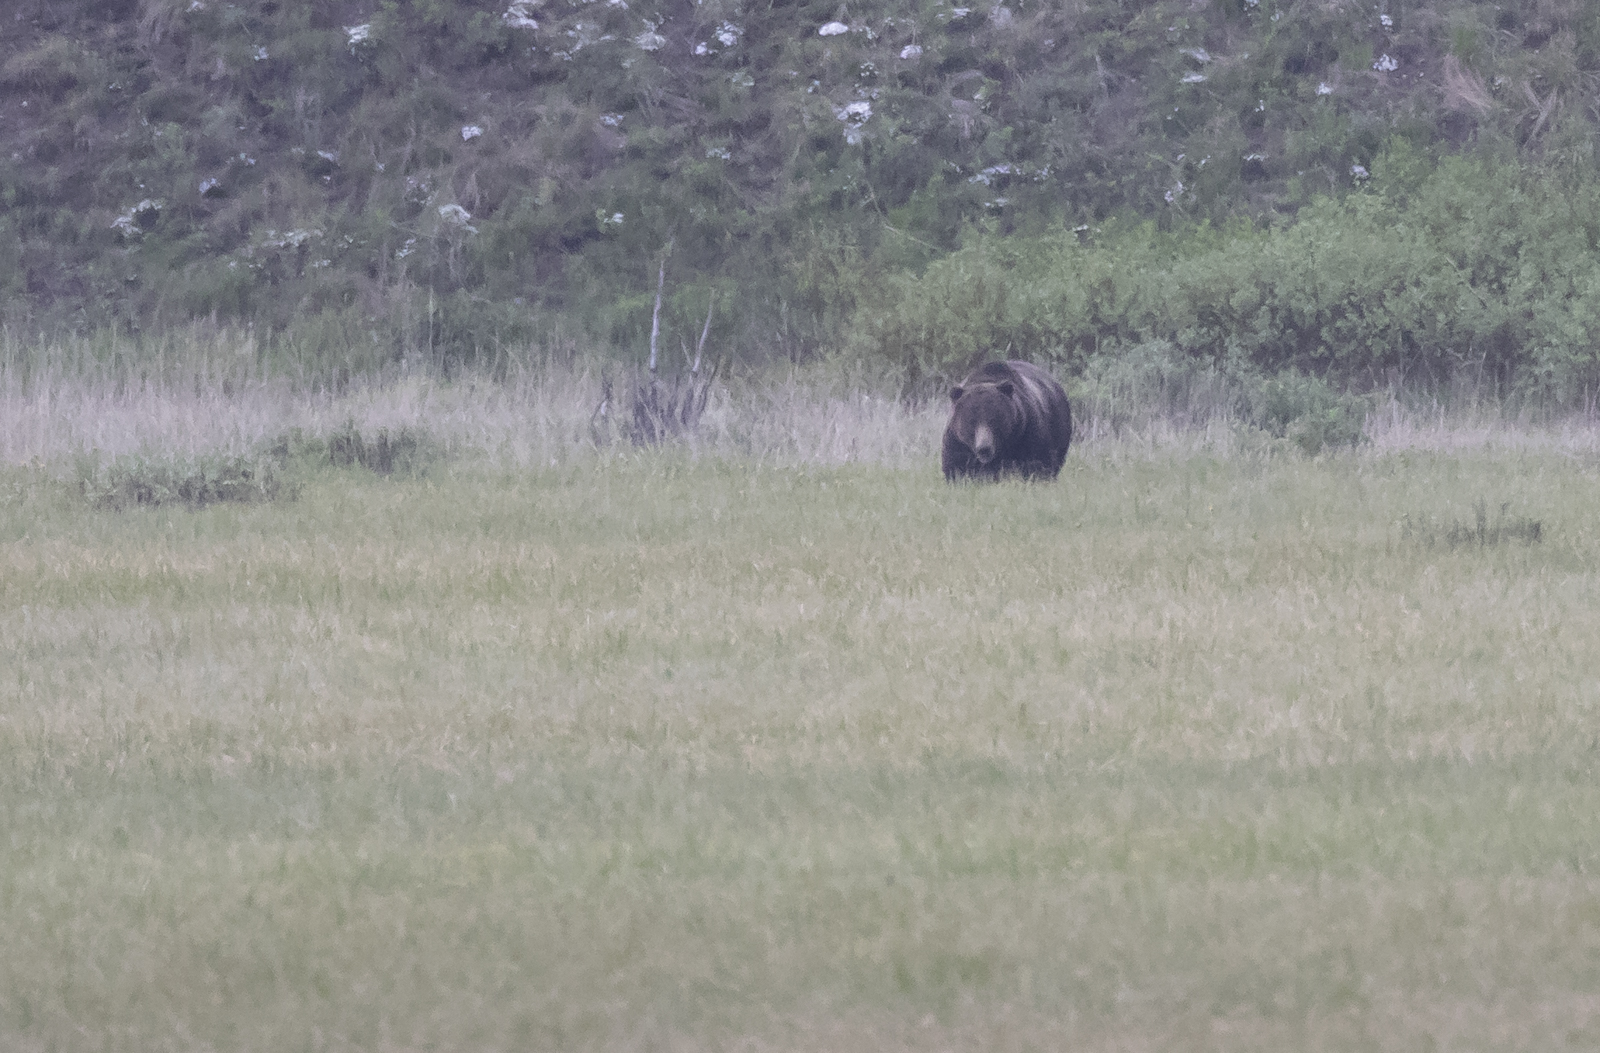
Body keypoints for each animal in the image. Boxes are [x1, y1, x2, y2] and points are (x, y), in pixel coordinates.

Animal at [941, 360, 1072, 481]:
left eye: (993, 419)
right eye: (971, 421)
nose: (984, 448)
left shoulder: (1028, 430)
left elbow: (1038, 463)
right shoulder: (957, 440)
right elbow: (956, 467)